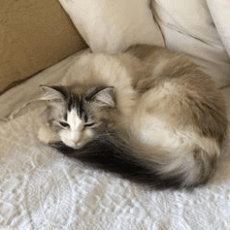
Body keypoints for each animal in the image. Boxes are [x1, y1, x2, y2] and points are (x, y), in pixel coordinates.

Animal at [38, 45, 228, 190]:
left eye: (89, 124)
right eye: (64, 123)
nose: (76, 142)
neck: (89, 77)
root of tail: (207, 148)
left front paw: (46, 135)